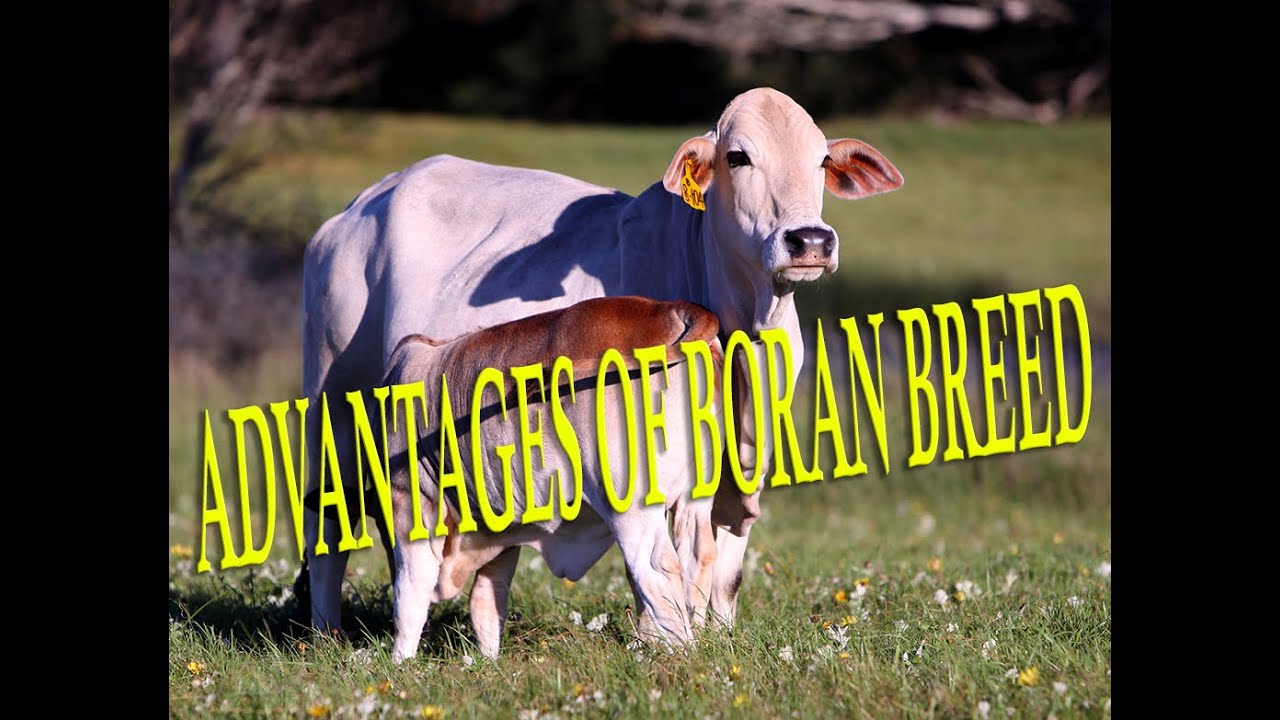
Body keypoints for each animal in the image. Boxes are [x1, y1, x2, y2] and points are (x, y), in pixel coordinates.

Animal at [381, 296, 723, 661]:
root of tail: (670, 309)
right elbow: (487, 598)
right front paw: (488, 659)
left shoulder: (410, 501)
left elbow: (409, 596)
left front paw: (401, 662)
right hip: (694, 497)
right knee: (697, 556)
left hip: (630, 504)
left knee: (658, 567)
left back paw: (679, 651)